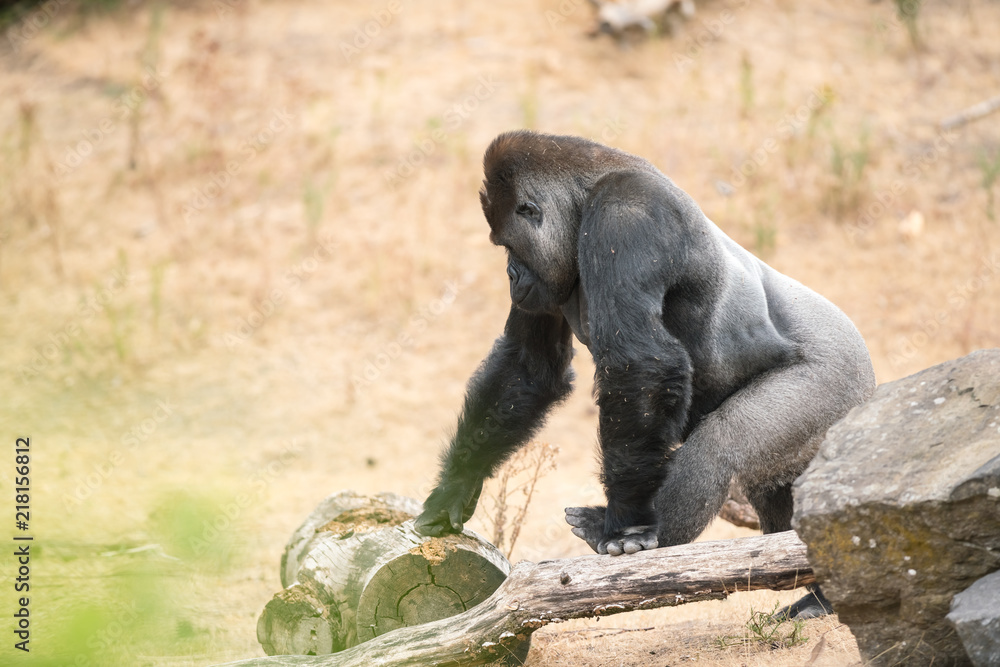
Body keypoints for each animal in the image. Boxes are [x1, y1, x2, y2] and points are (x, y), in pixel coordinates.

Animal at [414, 130, 875, 619]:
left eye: (507, 245)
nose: (510, 275)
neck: (585, 193)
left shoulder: (626, 217)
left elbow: (641, 361)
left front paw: (627, 527)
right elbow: (529, 368)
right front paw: (455, 486)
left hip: (836, 380)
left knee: (719, 448)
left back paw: (652, 537)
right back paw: (824, 597)